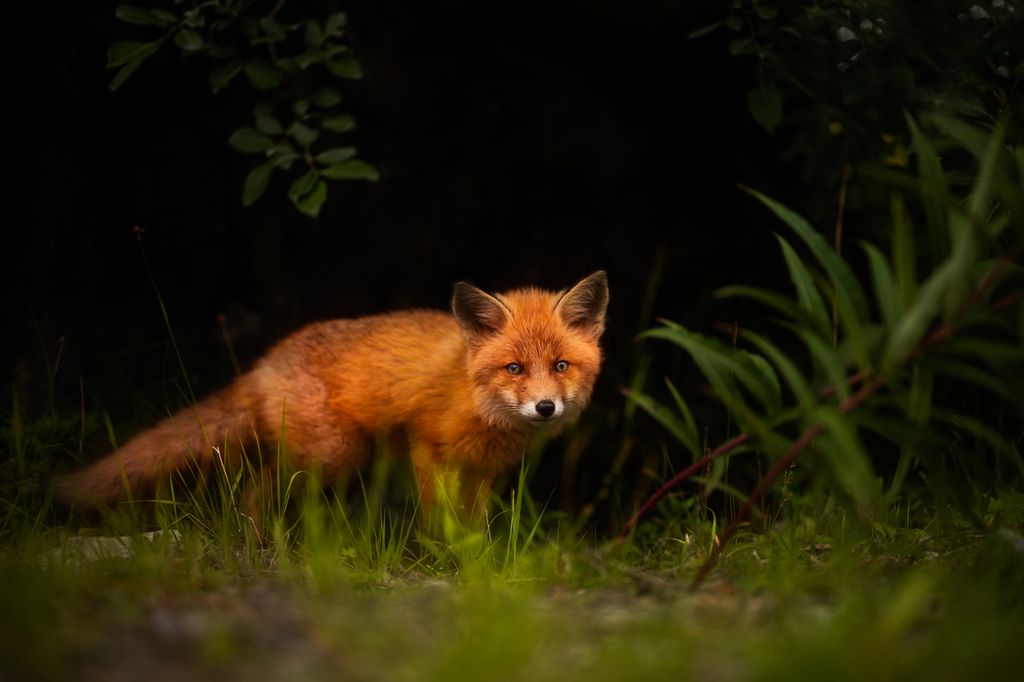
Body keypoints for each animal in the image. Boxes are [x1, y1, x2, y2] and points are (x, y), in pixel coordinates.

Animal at [58, 270, 606, 516]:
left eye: (560, 366)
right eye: (514, 368)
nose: (545, 407)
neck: (476, 403)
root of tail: (263, 363)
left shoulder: (485, 472)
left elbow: (477, 527)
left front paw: (481, 567)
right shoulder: (427, 449)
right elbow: (441, 520)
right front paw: (450, 560)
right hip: (335, 454)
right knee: (255, 490)